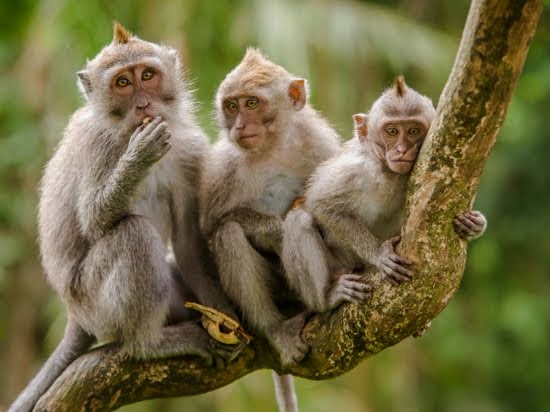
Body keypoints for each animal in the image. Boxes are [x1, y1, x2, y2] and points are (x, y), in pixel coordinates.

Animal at [8, 21, 242, 412]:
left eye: (147, 75)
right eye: (122, 83)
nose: (144, 104)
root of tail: (74, 316)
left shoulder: (190, 152)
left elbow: (188, 240)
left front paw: (225, 313)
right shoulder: (97, 146)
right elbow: (94, 221)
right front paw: (139, 155)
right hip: (95, 303)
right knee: (133, 234)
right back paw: (149, 344)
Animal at [282, 77, 490, 314]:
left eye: (413, 131)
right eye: (391, 132)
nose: (401, 150)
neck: (389, 173)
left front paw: (474, 223)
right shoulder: (355, 170)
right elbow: (321, 202)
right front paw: (379, 255)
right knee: (299, 219)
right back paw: (326, 298)